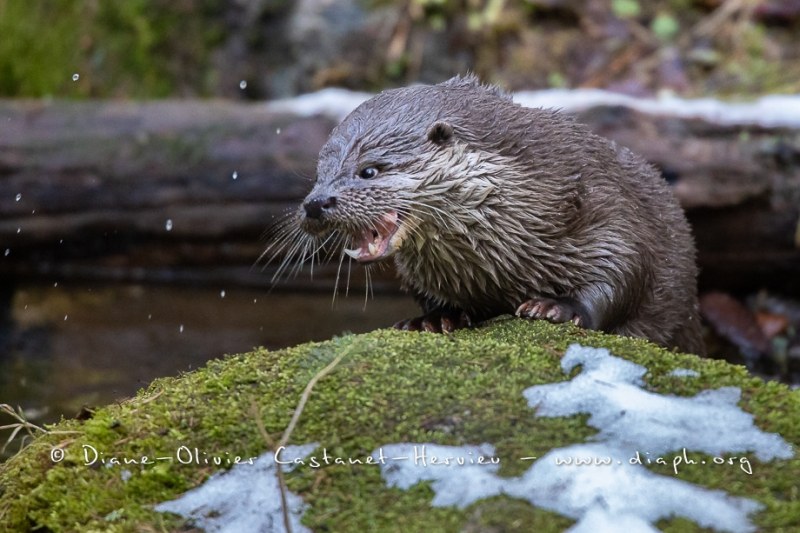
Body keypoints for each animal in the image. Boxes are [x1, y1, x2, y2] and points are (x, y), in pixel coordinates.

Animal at [278, 75, 704, 356]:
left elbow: (623, 270)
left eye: (369, 170)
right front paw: (435, 318)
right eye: (319, 175)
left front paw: (556, 308)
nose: (316, 204)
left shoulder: (608, 206)